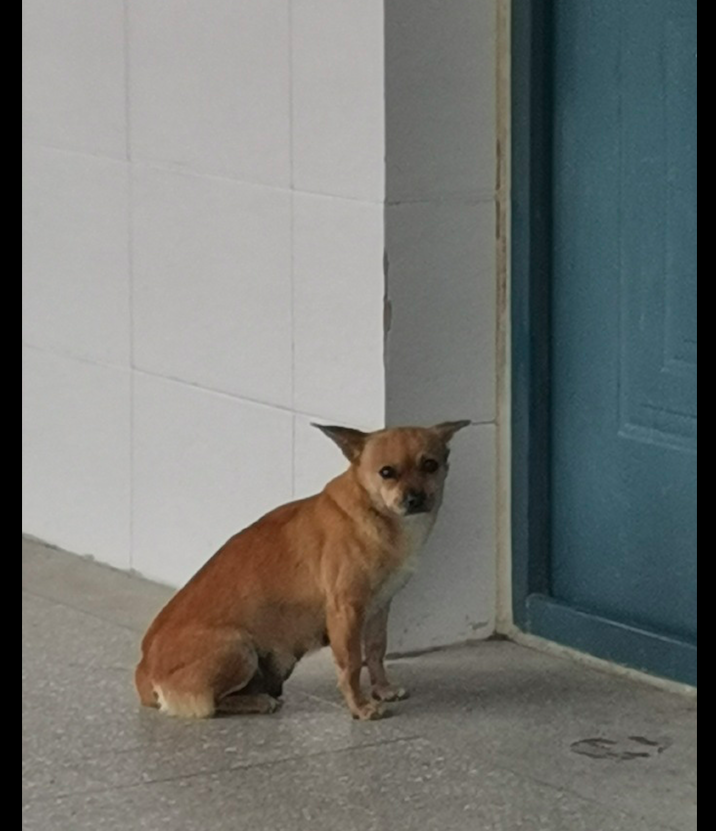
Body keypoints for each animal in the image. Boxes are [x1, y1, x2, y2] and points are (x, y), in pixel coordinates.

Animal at [134, 422, 470, 720]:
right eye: (387, 472)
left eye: (430, 465)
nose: (415, 498)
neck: (379, 515)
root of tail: (144, 672)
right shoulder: (346, 610)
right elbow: (351, 663)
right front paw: (360, 707)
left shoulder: (379, 607)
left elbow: (375, 651)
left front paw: (383, 690)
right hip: (239, 648)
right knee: (211, 704)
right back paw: (259, 702)